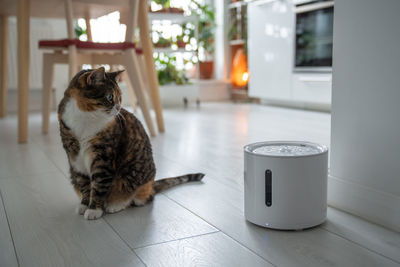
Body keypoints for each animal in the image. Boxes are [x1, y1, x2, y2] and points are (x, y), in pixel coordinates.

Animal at [57, 67, 205, 220]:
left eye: (119, 97)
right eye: (109, 97)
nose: (118, 107)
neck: (85, 119)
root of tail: (152, 184)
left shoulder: (104, 158)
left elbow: (99, 185)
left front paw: (94, 210)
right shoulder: (74, 157)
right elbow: (84, 183)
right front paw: (84, 205)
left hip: (134, 180)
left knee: (140, 199)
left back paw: (115, 205)